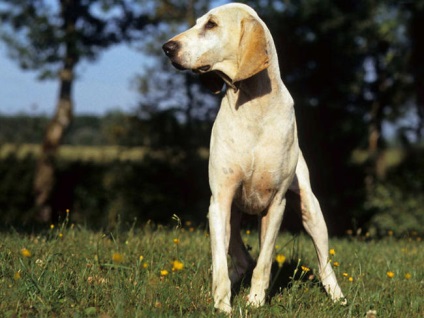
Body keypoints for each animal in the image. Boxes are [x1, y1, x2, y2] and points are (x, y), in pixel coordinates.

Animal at [162, 2, 344, 314]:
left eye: (211, 25)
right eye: (198, 22)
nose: (167, 47)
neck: (253, 104)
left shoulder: (276, 204)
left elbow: (266, 261)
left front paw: (256, 301)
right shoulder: (220, 201)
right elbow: (220, 264)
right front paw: (223, 305)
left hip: (311, 211)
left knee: (324, 264)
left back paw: (338, 297)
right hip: (228, 215)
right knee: (240, 258)